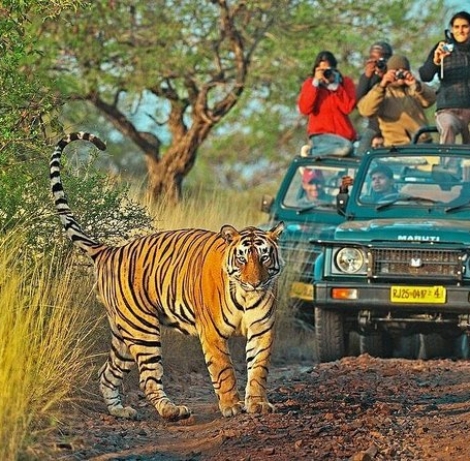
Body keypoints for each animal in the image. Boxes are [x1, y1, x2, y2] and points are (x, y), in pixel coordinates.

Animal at [49, 132, 284, 420]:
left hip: (123, 334)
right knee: (148, 378)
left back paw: (121, 411)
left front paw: (258, 404)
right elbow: (224, 371)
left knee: (107, 374)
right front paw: (231, 406)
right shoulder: (212, 334)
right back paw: (172, 410)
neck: (245, 295)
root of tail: (109, 250)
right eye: (242, 258)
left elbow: (259, 369)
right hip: (142, 330)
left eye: (264, 257)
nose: (255, 282)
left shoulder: (262, 329)